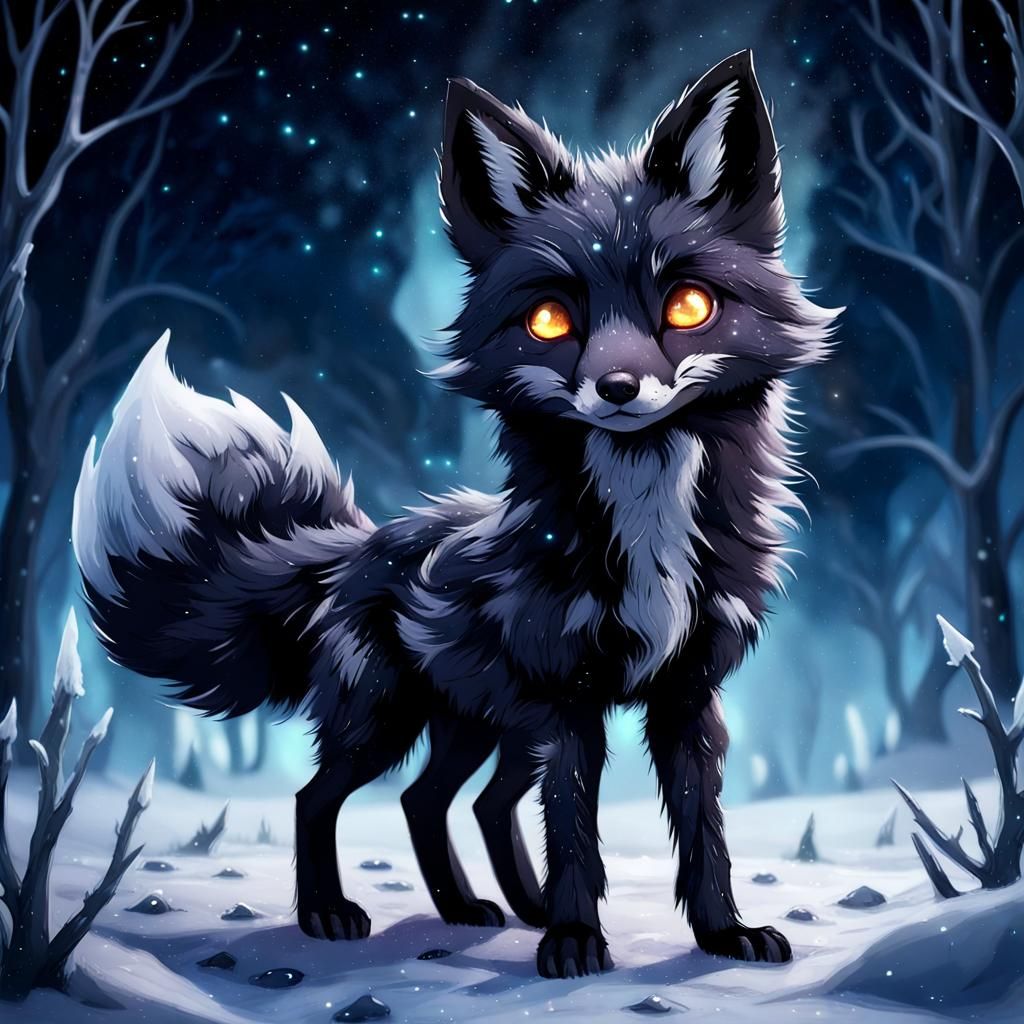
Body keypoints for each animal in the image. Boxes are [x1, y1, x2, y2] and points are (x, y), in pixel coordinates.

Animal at [73, 50, 838, 978]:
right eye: (549, 320)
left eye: (689, 307)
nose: (619, 388)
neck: (645, 527)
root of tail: (357, 545)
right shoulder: (569, 700)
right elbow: (574, 829)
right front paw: (575, 941)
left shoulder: (686, 695)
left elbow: (703, 831)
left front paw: (723, 935)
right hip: (390, 718)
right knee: (322, 795)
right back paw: (332, 913)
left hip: (485, 726)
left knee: (444, 801)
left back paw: (484, 906)